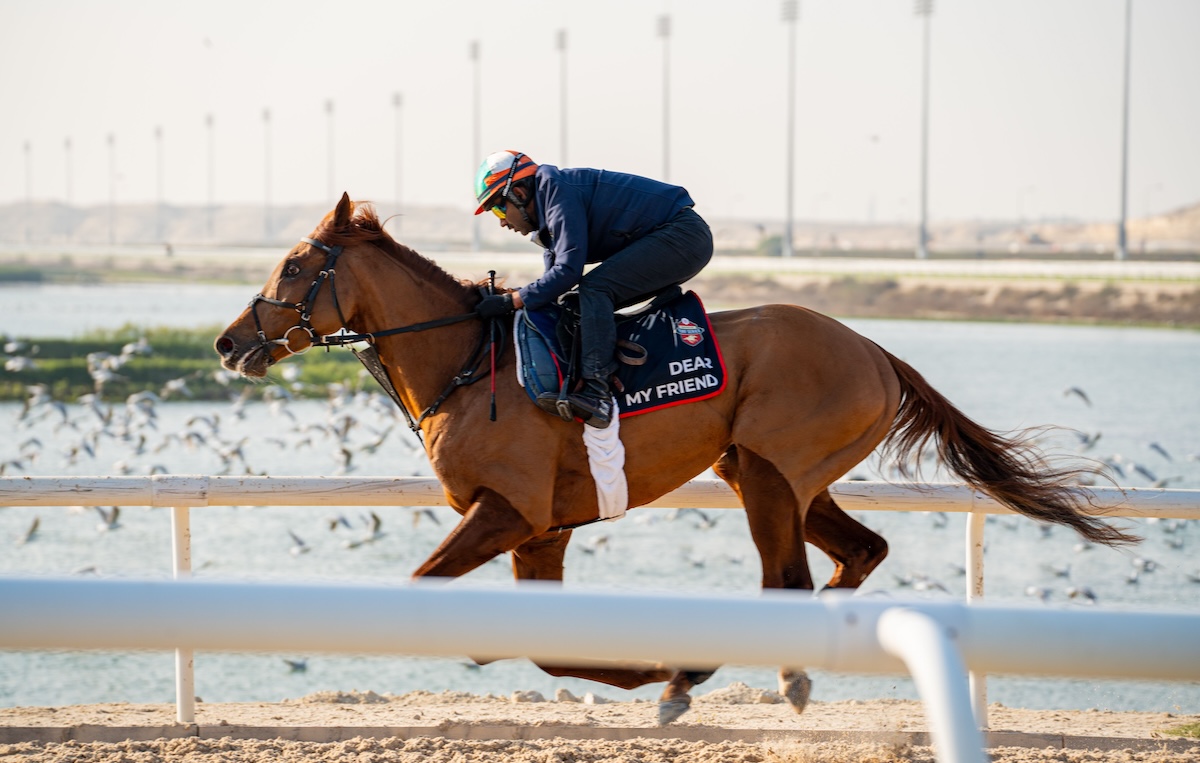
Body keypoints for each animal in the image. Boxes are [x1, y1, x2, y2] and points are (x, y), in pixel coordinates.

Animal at [213, 193, 1132, 724]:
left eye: (292, 264)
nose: (227, 342)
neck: (469, 365)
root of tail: (875, 349)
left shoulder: (507, 512)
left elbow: (427, 591)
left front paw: (667, 667)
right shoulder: (541, 532)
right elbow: (553, 649)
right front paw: (658, 671)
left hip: (769, 470)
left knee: (786, 580)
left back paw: (756, 667)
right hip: (774, 472)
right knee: (861, 552)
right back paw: (732, 665)